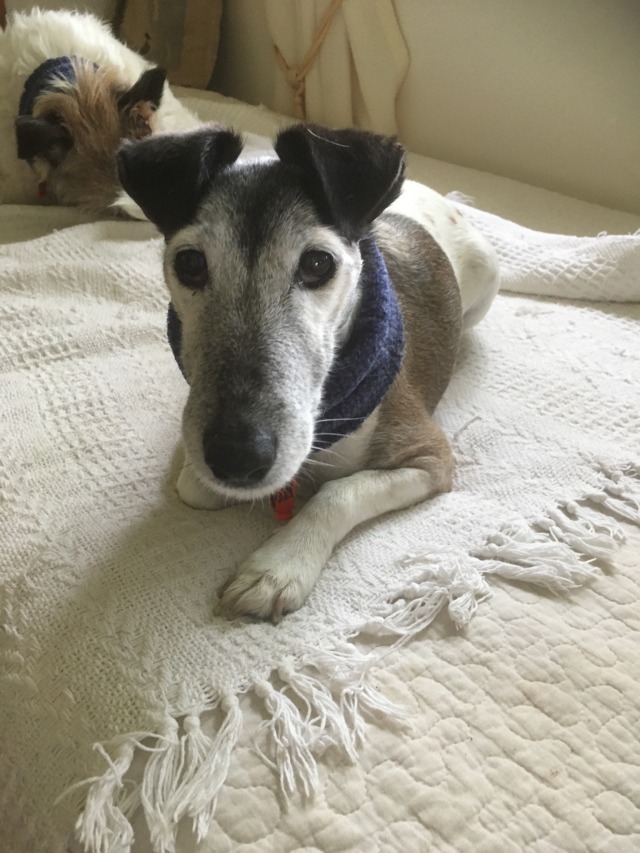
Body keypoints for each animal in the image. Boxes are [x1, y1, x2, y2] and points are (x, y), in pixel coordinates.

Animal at [116, 121, 500, 620]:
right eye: (190, 264)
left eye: (318, 263)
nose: (237, 457)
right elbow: (193, 486)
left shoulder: (429, 456)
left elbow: (336, 493)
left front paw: (277, 567)